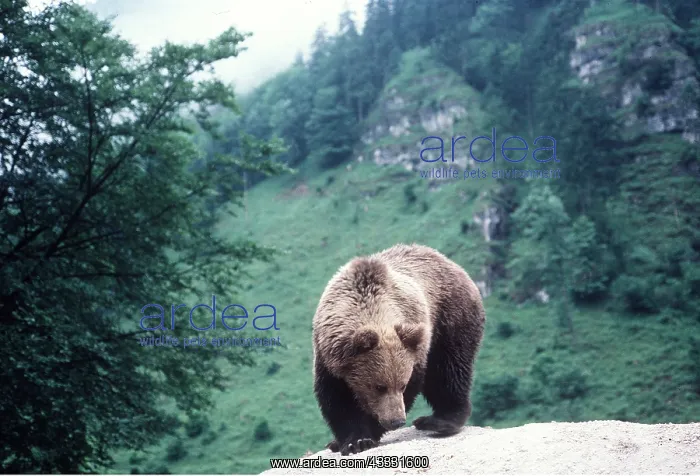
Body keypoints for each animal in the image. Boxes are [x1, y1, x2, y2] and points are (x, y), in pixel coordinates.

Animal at [312, 243, 486, 456]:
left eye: (402, 384)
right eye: (379, 386)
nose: (397, 421)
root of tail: (450, 263)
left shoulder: (415, 348)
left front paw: (367, 434)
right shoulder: (328, 357)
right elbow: (336, 399)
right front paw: (354, 441)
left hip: (451, 317)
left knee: (449, 369)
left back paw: (439, 420)